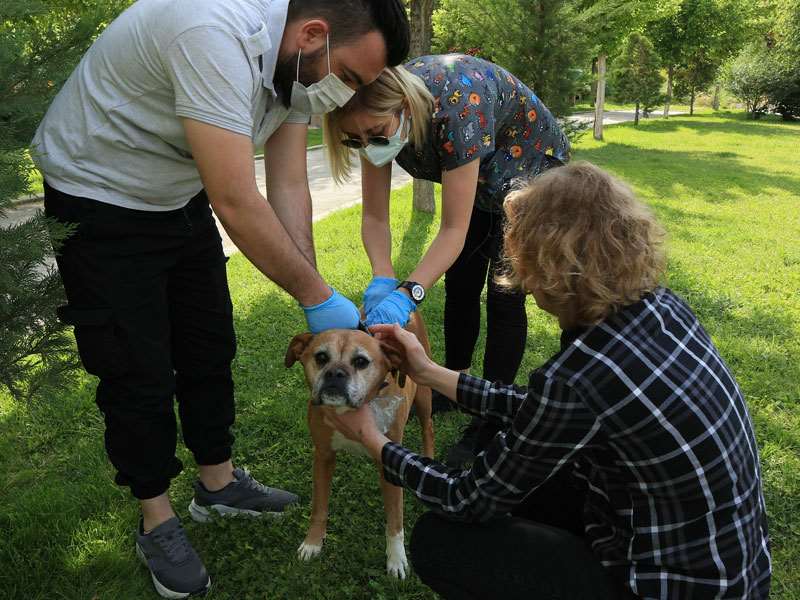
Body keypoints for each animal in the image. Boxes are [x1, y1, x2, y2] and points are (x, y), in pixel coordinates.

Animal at [284, 312, 434, 580]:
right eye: (321, 358)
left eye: (361, 362)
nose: (335, 373)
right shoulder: (323, 456)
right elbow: (319, 507)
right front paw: (313, 542)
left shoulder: (390, 464)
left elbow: (395, 518)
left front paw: (396, 559)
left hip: (424, 390)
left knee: (428, 427)